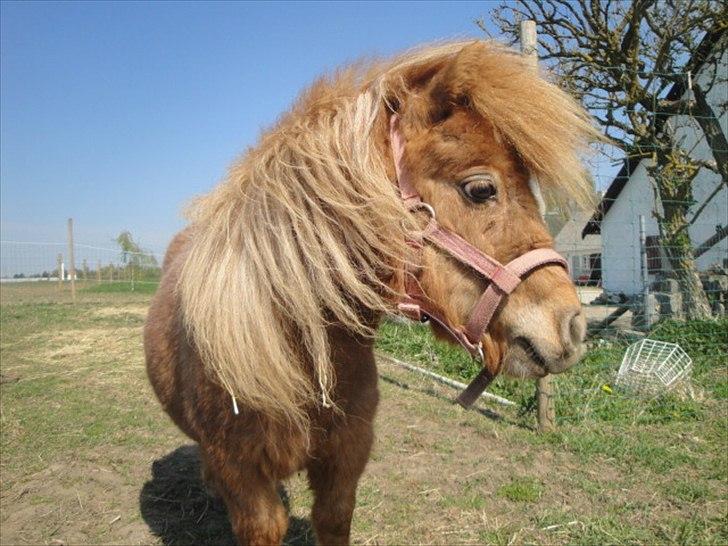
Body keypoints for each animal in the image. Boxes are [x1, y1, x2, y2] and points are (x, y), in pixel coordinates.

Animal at [144, 40, 598, 545]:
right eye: (481, 189)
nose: (573, 326)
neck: (301, 356)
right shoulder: (245, 482)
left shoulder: (345, 464)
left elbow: (333, 517)